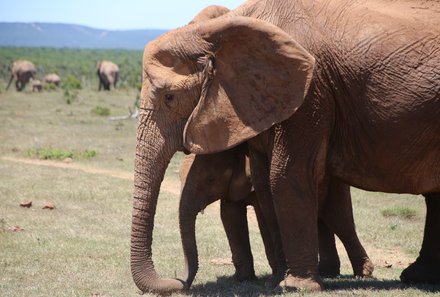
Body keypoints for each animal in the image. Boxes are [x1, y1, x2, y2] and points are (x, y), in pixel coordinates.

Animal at [178, 147, 372, 288]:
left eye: (210, 180)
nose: (182, 284)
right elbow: (230, 216)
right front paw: (241, 279)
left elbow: (263, 217)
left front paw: (274, 278)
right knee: (321, 221)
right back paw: (326, 273)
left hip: (335, 181)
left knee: (339, 220)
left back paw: (363, 273)